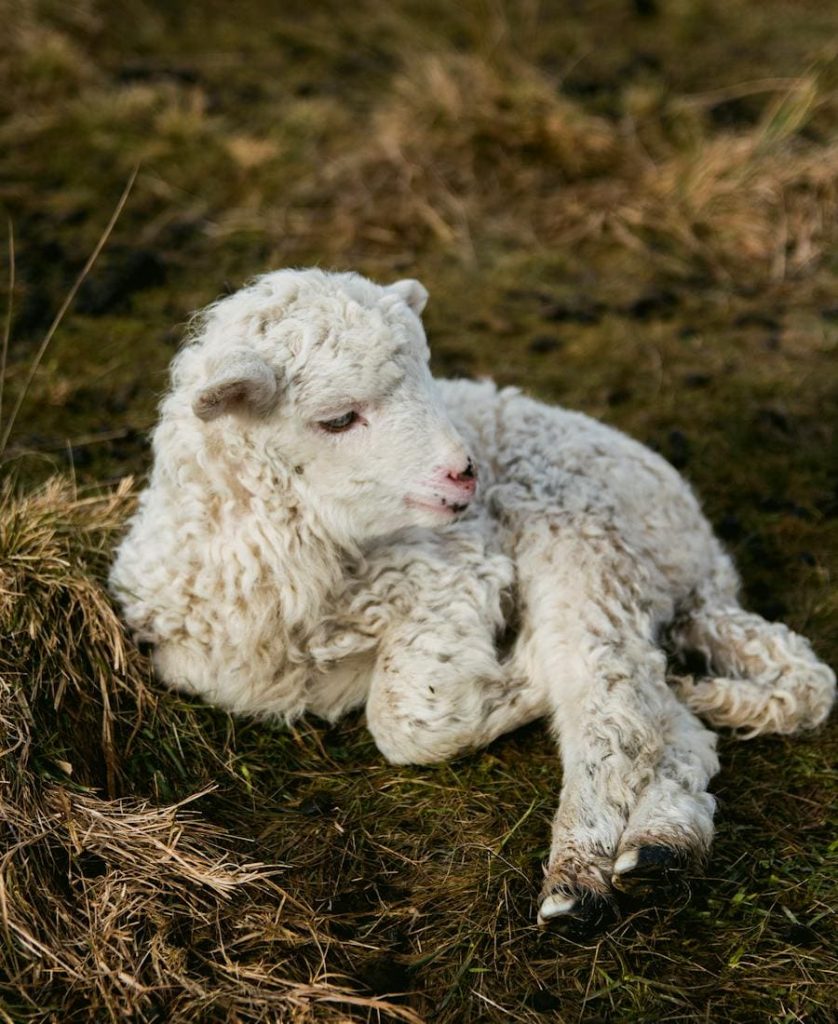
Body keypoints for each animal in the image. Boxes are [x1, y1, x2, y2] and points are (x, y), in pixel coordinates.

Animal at [109, 266, 827, 937]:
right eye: (337, 418)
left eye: (429, 379)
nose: (465, 472)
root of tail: (703, 564)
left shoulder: (454, 570)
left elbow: (405, 721)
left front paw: (519, 678)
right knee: (670, 720)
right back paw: (661, 849)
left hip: (584, 533)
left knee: (609, 701)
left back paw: (579, 879)